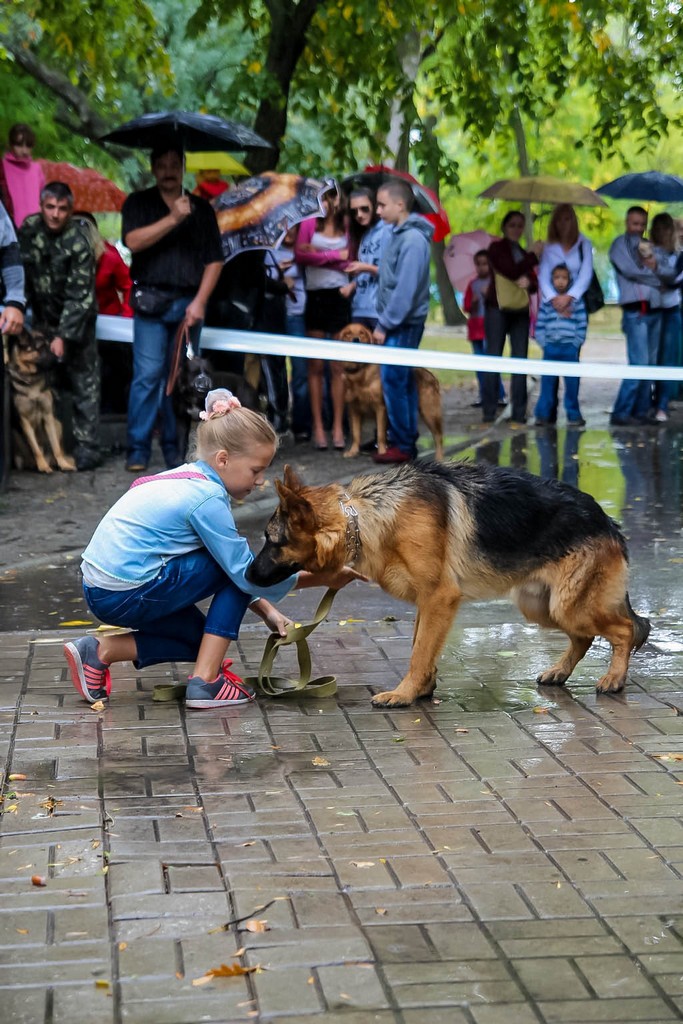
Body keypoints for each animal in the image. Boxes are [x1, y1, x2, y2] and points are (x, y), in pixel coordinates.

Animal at [8, 325, 76, 473]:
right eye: (40, 348)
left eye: (50, 346)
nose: (59, 360)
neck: (31, 378)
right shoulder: (24, 421)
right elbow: (36, 449)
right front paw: (43, 466)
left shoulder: (48, 416)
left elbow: (56, 447)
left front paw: (63, 464)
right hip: (15, 435)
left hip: (58, 424)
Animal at [248, 462, 655, 708]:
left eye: (271, 541)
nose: (247, 576)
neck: (363, 517)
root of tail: (606, 521)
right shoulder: (427, 604)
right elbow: (421, 646)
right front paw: (423, 688)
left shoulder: (439, 598)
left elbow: (419, 651)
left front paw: (404, 693)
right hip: (541, 605)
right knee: (586, 637)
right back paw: (560, 671)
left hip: (568, 605)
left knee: (626, 629)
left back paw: (614, 678)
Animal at [335, 323, 444, 460]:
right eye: (348, 334)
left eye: (362, 333)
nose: (356, 339)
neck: (360, 373)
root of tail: (431, 375)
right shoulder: (354, 409)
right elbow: (356, 434)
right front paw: (353, 451)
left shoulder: (380, 407)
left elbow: (381, 434)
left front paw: (382, 452)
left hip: (429, 412)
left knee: (438, 436)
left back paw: (439, 458)